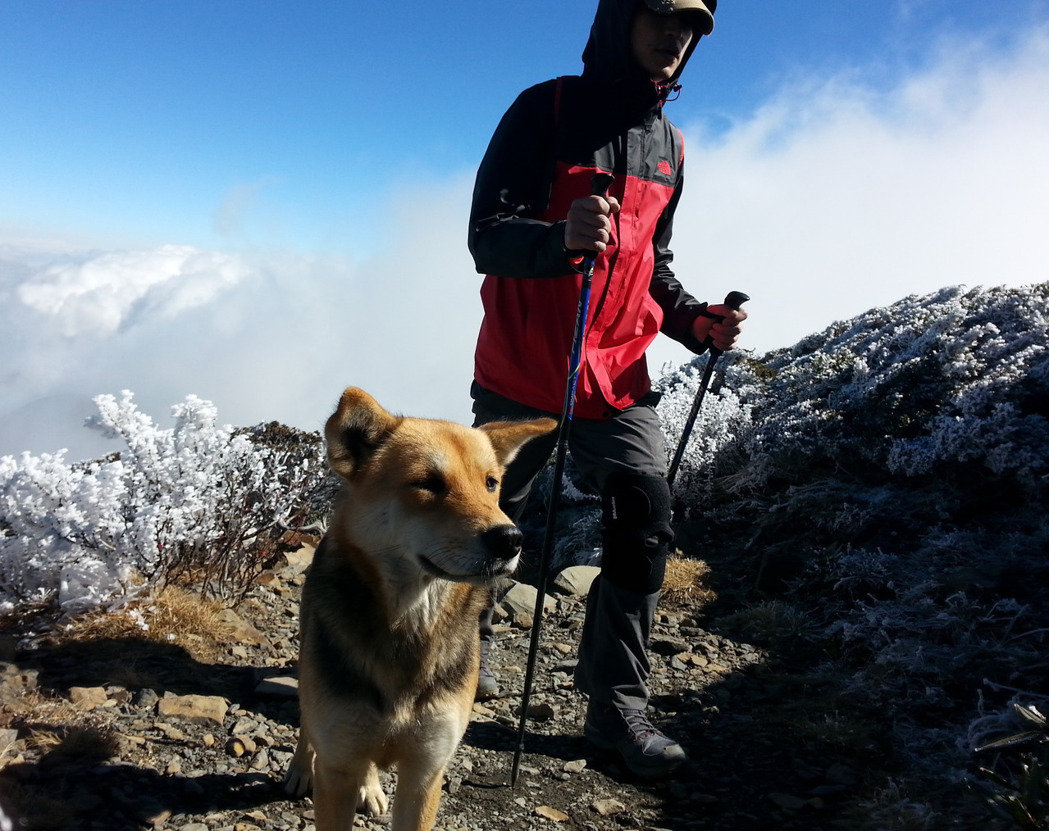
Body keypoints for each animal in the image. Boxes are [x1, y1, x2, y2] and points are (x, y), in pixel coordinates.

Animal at [283, 390, 553, 830]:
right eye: (428, 483)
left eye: (491, 483)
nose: (511, 539)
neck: (411, 622)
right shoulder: (337, 767)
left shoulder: (426, 772)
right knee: (309, 724)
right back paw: (301, 769)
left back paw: (371, 788)